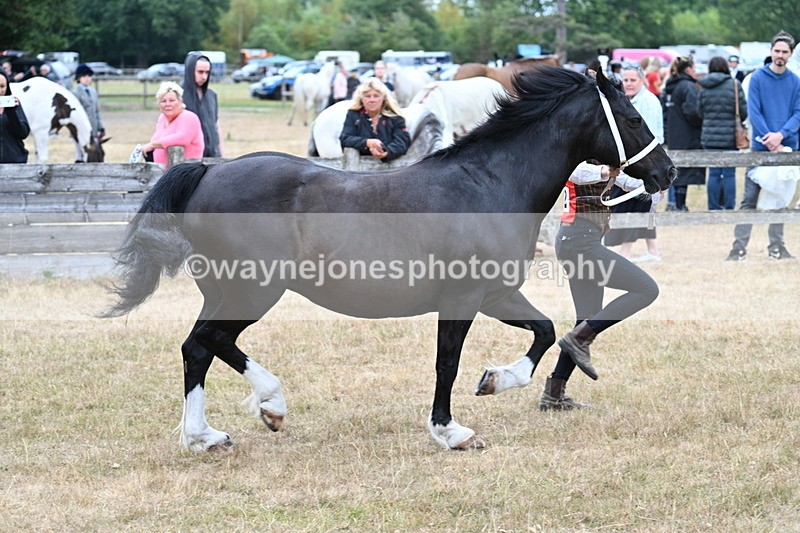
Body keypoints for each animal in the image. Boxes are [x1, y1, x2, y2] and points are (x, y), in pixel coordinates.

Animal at [104, 67, 676, 452]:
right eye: (630, 116)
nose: (666, 172)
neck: (489, 184)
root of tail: (209, 171)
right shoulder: (463, 297)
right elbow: (447, 362)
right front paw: (451, 431)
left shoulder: (496, 293)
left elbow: (543, 330)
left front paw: (494, 380)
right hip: (254, 288)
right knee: (209, 342)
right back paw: (267, 407)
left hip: (226, 291)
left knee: (198, 348)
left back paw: (210, 434)